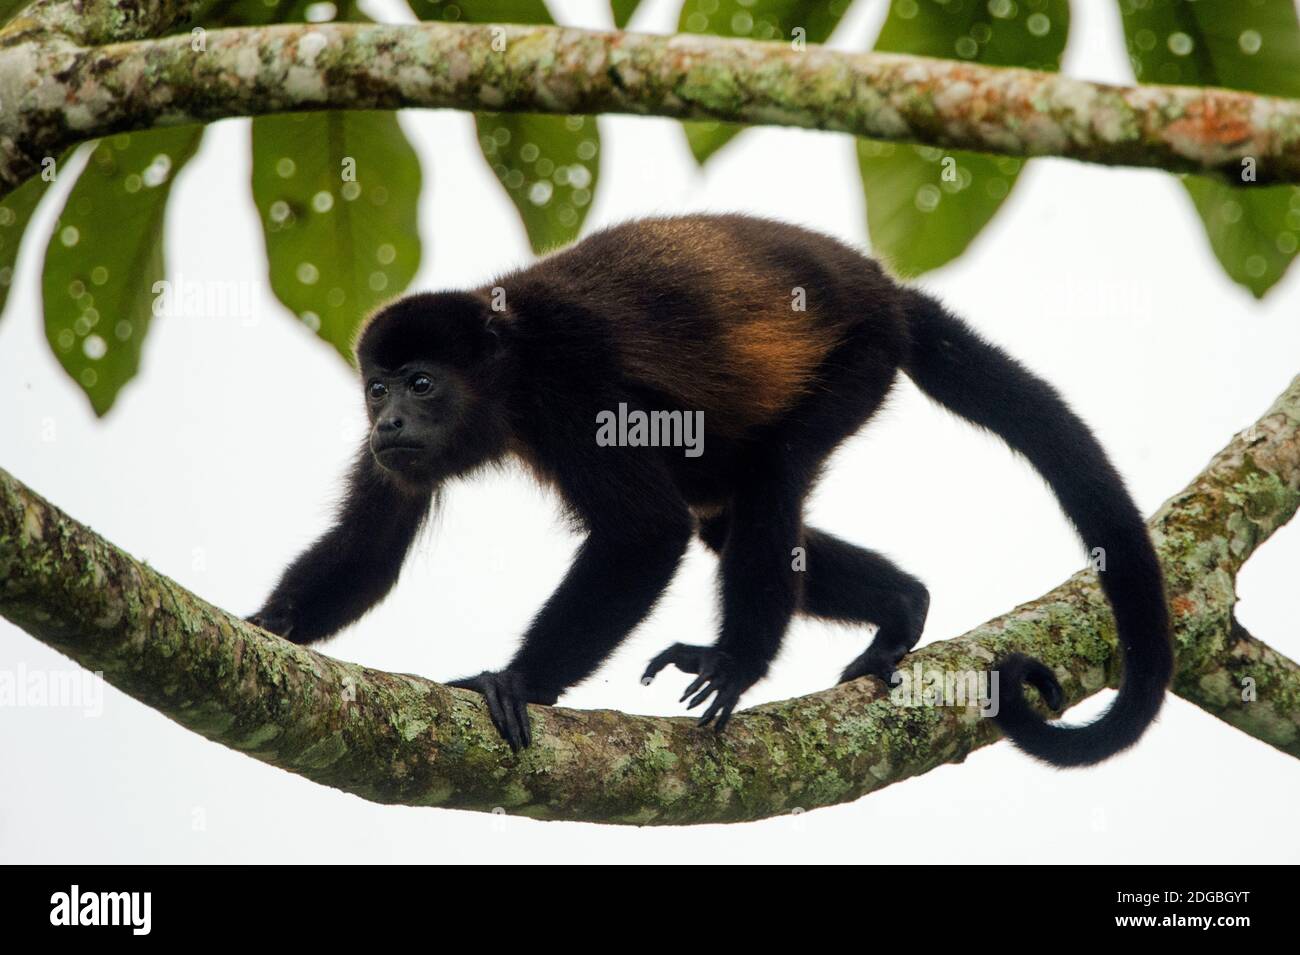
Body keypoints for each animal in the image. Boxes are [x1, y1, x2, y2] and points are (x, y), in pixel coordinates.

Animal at [248, 213, 1175, 764]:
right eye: (377, 389)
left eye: (422, 383)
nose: (388, 422)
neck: (507, 374)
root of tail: (883, 288)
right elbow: (371, 549)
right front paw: (265, 629)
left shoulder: (574, 390)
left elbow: (646, 532)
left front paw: (516, 682)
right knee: (726, 521)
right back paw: (902, 605)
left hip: (861, 358)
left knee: (769, 482)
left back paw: (739, 658)